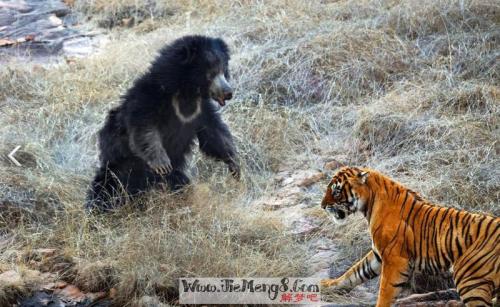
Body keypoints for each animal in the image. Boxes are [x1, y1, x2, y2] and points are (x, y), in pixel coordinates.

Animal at [86, 34, 240, 212]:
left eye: (223, 70)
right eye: (211, 73)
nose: (228, 92)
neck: (186, 92)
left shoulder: (202, 111)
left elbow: (214, 136)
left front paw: (235, 166)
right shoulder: (149, 98)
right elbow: (143, 129)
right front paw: (162, 163)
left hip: (170, 177)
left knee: (180, 183)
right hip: (120, 168)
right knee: (105, 188)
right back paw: (98, 208)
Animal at [320, 167, 500, 307]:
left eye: (336, 191)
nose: (322, 206)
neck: (370, 203)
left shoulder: (395, 259)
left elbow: (385, 291)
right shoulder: (378, 254)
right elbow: (355, 272)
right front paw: (328, 285)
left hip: (469, 279)